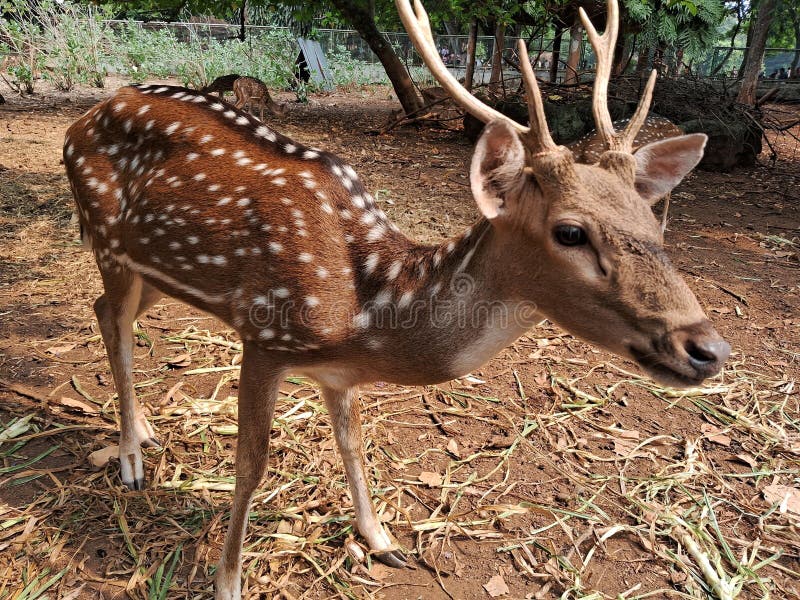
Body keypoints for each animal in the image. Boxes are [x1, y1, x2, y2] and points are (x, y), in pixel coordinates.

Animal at [64, 0, 732, 596]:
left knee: (107, 315)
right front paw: (228, 582)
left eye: (654, 220)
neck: (369, 311)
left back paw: (144, 432)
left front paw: (381, 540)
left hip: (151, 273)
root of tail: (86, 115)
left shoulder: (336, 373)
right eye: (570, 231)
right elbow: (251, 464)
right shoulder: (265, 334)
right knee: (110, 318)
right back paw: (130, 461)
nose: (708, 348)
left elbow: (352, 442)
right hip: (107, 242)